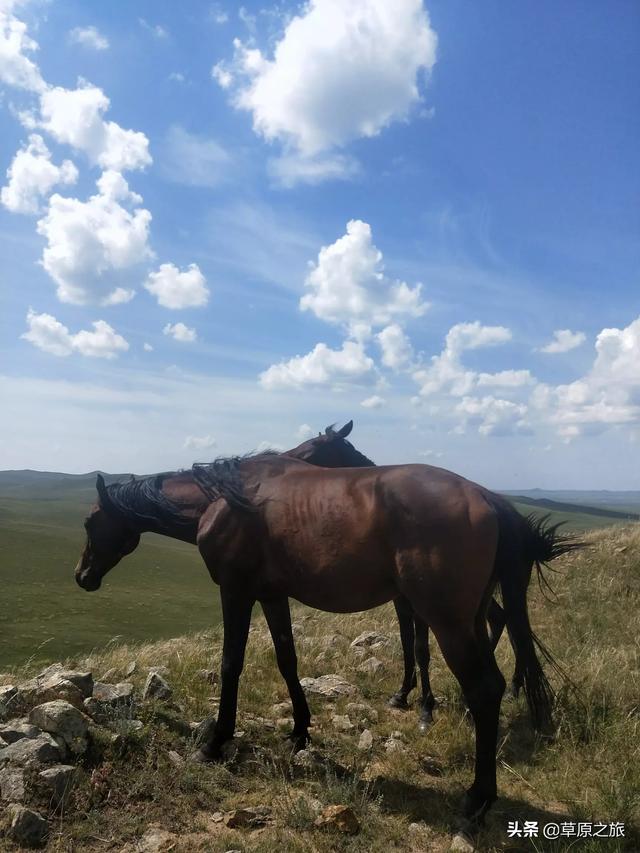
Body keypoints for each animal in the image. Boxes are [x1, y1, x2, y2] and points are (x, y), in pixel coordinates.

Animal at [75, 452, 576, 832]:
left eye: (89, 522)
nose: (82, 577)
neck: (226, 500)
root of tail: (488, 498)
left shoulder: (236, 591)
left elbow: (231, 663)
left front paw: (215, 742)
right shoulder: (272, 594)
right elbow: (287, 659)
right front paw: (299, 730)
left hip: (447, 621)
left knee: (484, 689)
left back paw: (477, 798)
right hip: (469, 617)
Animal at [284, 420, 524, 724]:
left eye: (313, 448)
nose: (285, 458)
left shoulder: (418, 604)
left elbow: (421, 649)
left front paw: (426, 707)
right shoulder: (402, 601)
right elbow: (407, 643)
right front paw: (403, 693)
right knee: (501, 619)